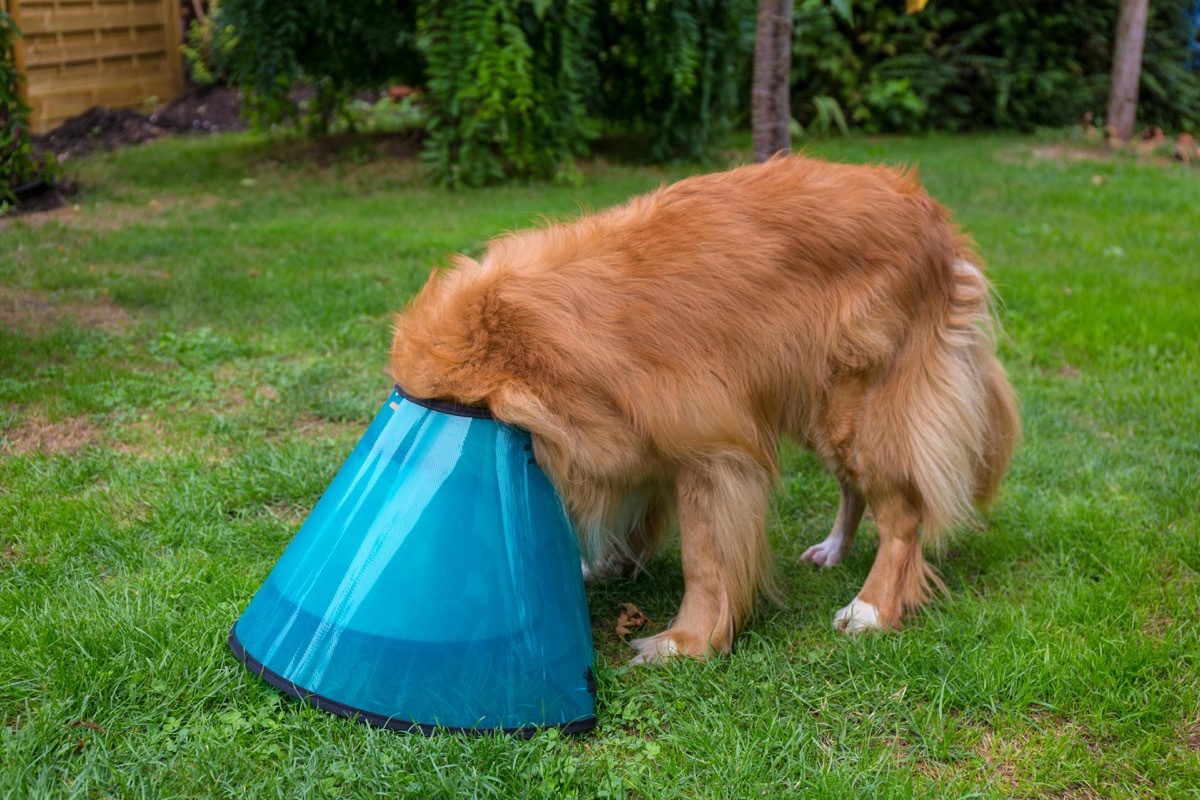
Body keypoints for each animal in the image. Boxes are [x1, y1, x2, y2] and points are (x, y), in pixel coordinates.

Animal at [388, 154, 1017, 662]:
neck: (536, 337)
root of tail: (926, 208)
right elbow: (637, 510)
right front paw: (612, 566)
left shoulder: (711, 451)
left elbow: (706, 561)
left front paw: (683, 642)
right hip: (821, 405)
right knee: (853, 487)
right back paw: (835, 550)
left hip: (860, 407)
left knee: (903, 513)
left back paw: (873, 607)